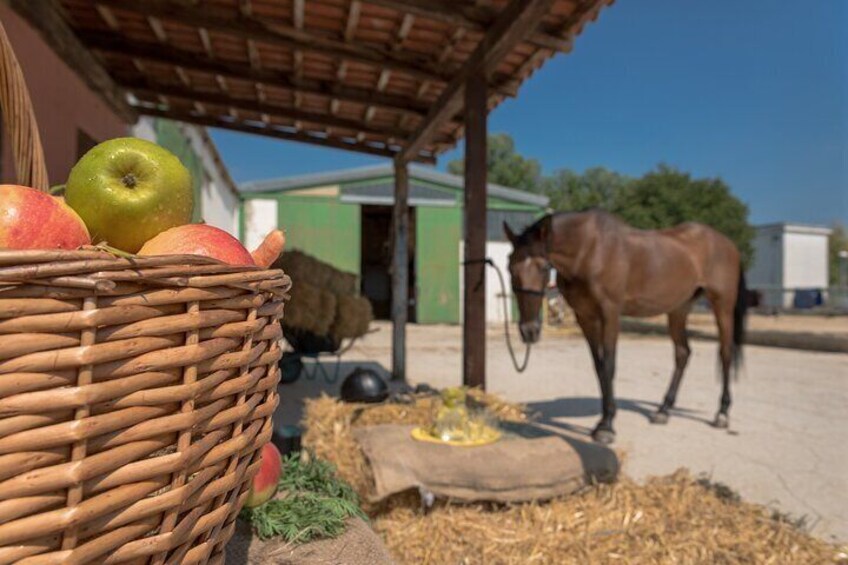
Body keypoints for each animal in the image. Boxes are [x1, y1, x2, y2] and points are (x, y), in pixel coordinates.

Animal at [506, 209, 744, 442]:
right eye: (510, 267)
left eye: (544, 267)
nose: (529, 331)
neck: (589, 250)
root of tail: (728, 244)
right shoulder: (585, 317)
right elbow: (599, 366)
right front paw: (603, 421)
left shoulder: (610, 314)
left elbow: (609, 365)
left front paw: (606, 426)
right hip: (679, 308)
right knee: (682, 353)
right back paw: (663, 410)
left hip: (722, 306)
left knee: (725, 353)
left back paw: (722, 414)